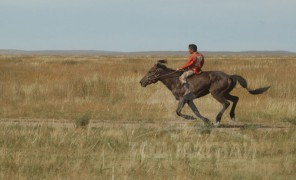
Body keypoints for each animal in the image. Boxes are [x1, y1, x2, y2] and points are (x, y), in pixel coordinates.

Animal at [139, 59, 270, 126]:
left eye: (150, 71)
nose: (141, 82)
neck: (175, 80)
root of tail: (229, 76)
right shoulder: (189, 100)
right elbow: (196, 111)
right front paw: (206, 121)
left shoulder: (183, 99)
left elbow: (178, 111)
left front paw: (190, 118)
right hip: (224, 93)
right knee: (235, 99)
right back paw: (232, 116)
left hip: (216, 93)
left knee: (226, 103)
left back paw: (218, 119)